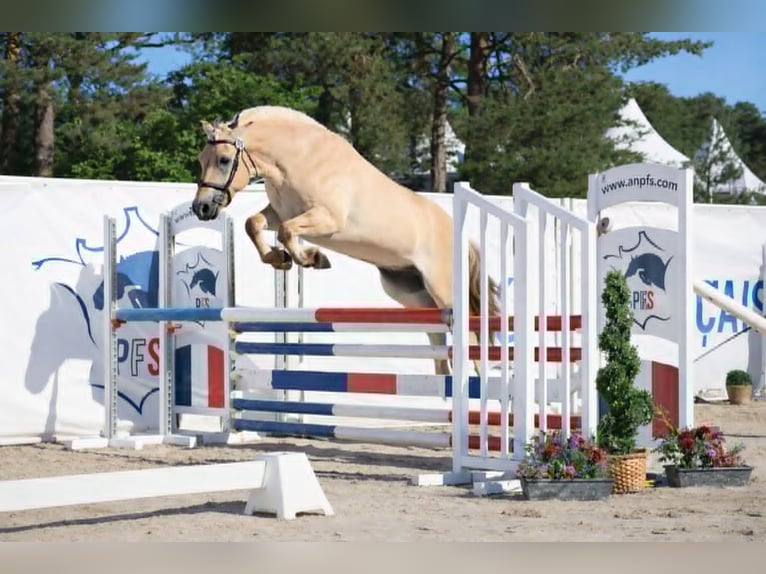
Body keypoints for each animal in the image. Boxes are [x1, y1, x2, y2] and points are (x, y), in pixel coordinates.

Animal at [192, 105, 499, 374]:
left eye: (223, 160)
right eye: (201, 160)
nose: (201, 208)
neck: (296, 159)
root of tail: (460, 237)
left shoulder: (327, 219)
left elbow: (287, 232)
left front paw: (313, 258)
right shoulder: (280, 213)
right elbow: (254, 223)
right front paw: (280, 259)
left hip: (443, 289)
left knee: (470, 335)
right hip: (413, 295)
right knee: (437, 336)